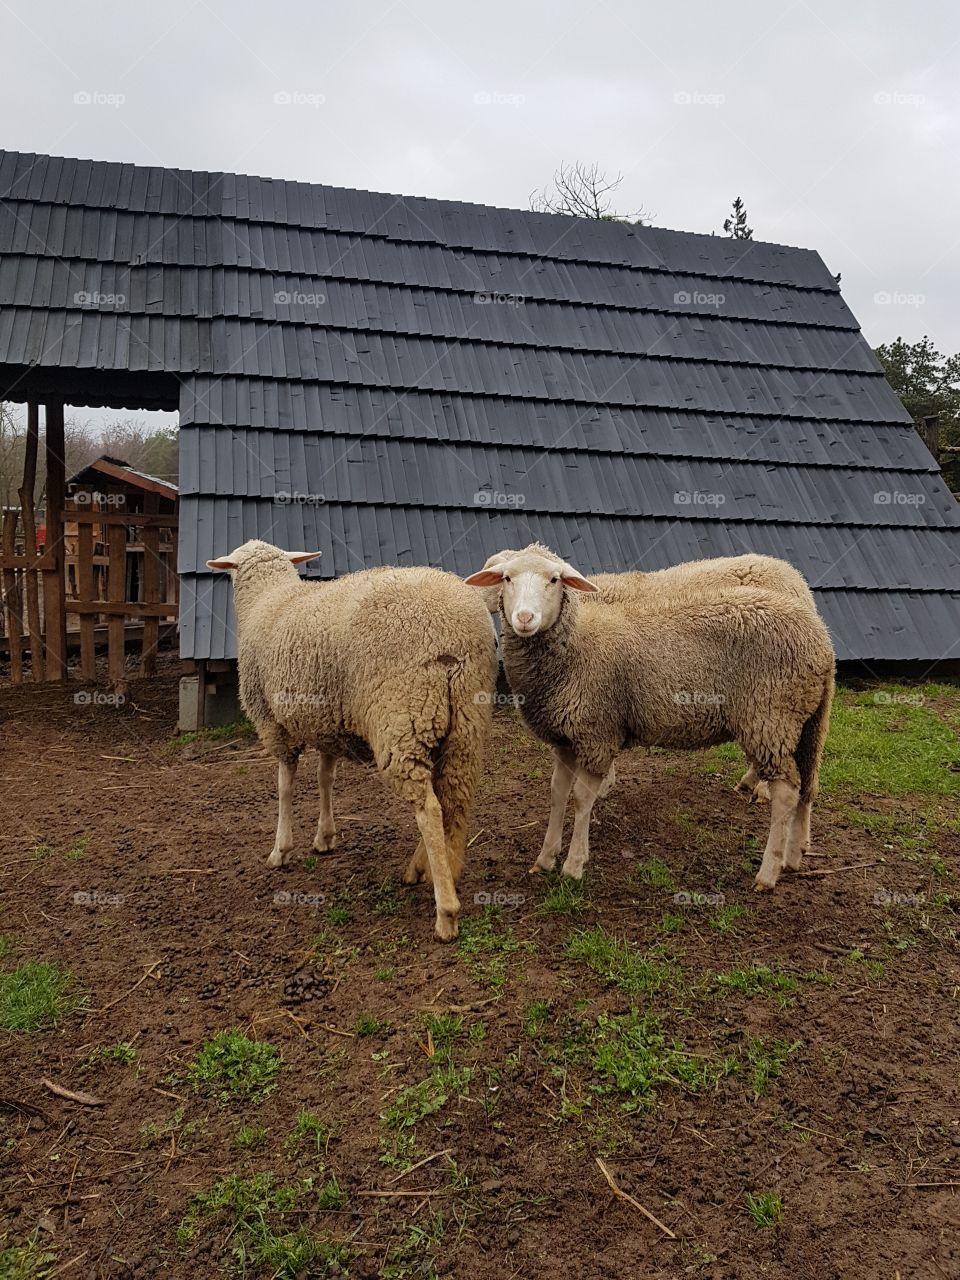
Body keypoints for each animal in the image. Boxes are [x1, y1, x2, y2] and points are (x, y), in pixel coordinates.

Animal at [206, 540, 497, 940]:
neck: (270, 599)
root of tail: (458, 630)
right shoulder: (328, 724)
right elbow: (325, 778)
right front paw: (324, 838)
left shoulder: (274, 723)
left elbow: (284, 787)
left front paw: (281, 849)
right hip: (466, 721)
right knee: (455, 799)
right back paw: (432, 870)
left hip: (402, 716)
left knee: (429, 807)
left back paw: (446, 911)